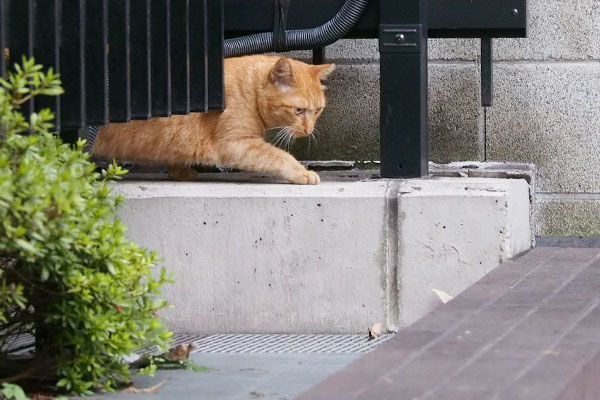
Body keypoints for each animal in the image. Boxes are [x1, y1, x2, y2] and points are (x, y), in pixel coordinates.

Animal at [94, 55, 338, 184]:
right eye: (299, 110)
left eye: (318, 110)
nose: (309, 130)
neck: (251, 91)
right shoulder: (237, 144)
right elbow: (279, 156)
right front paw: (302, 172)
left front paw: (180, 172)